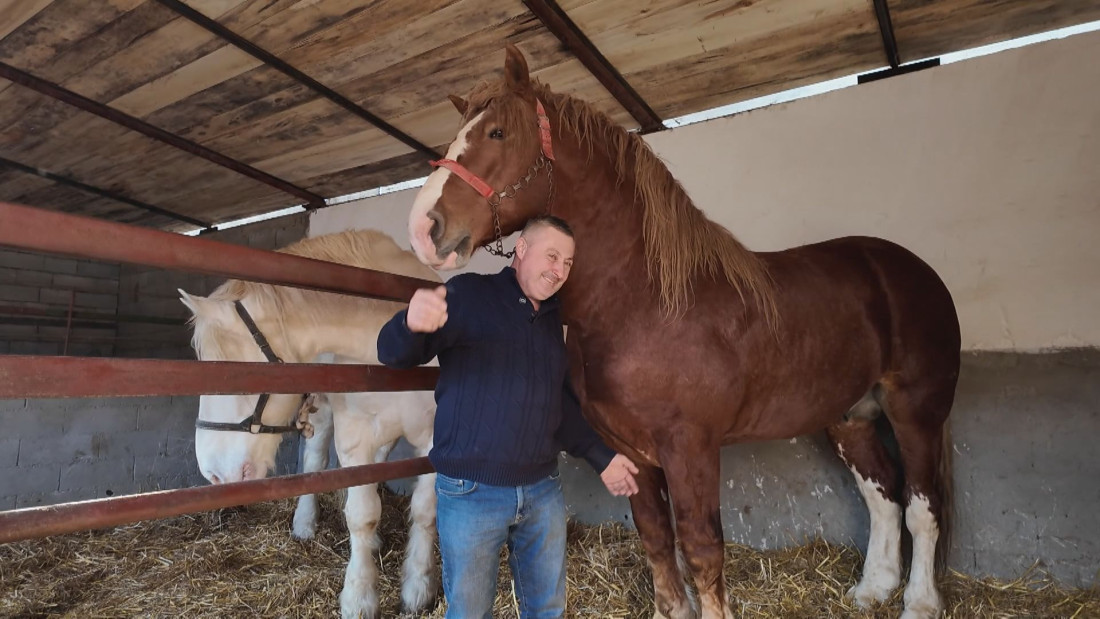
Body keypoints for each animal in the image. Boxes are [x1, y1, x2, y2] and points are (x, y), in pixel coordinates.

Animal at [179, 228, 437, 619]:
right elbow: (362, 514)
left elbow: (424, 512)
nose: (214, 474)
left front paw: (418, 588)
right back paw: (304, 524)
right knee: (315, 460)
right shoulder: (355, 432)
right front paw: (359, 597)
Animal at [409, 44, 959, 619]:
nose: (424, 228)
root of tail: (913, 271)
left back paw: (920, 602)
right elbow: (655, 535)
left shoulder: (690, 449)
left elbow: (700, 547)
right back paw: (873, 588)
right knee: (883, 494)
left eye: (496, 133)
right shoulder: (628, 449)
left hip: (915, 410)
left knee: (922, 506)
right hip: (852, 416)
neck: (643, 302)